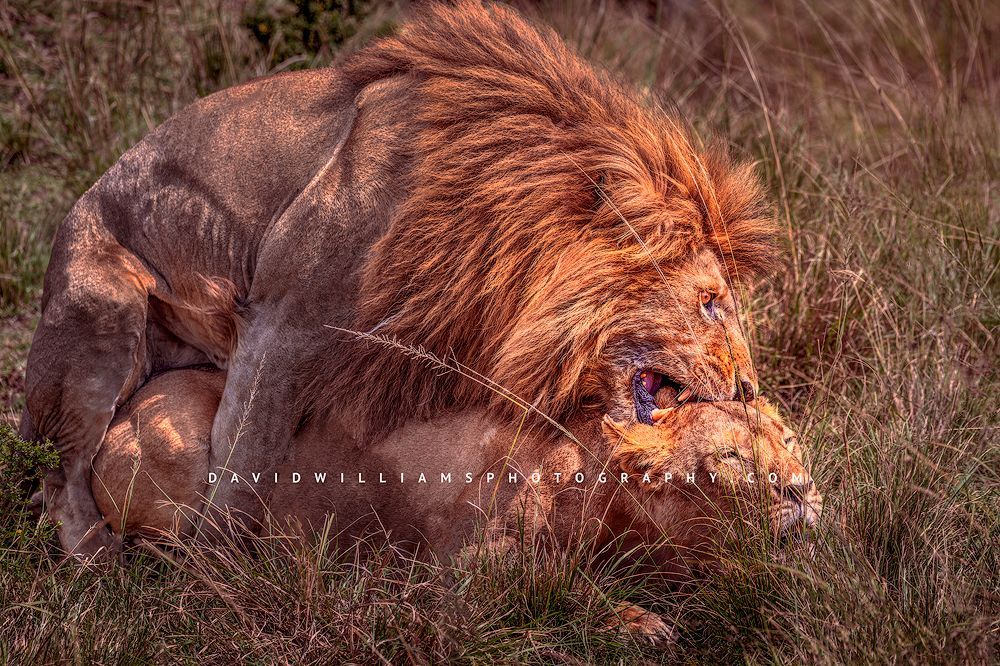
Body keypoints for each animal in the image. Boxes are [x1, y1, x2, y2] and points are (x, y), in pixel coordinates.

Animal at [22, 0, 775, 555]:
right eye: (711, 304)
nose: (747, 389)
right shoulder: (283, 322)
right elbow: (243, 457)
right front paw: (219, 568)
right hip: (101, 322)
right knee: (61, 470)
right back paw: (96, 560)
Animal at [92, 368, 821, 644]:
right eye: (729, 463)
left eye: (790, 442)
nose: (800, 490)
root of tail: (117, 414)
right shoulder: (467, 570)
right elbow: (561, 583)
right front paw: (639, 622)